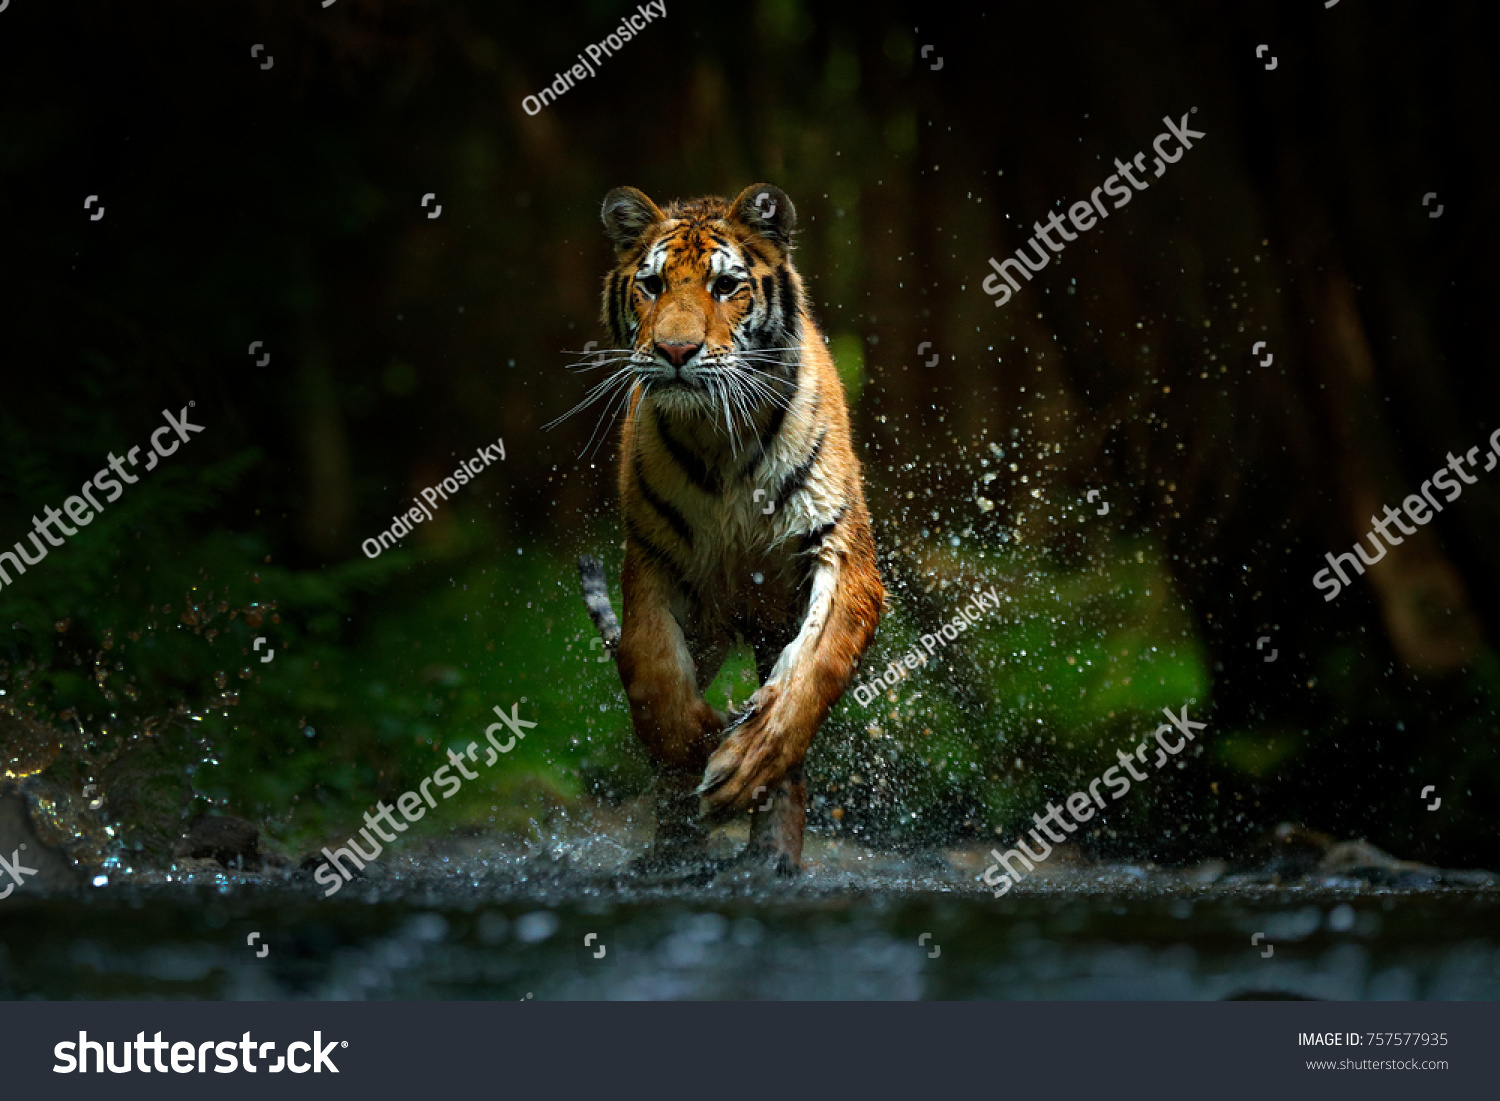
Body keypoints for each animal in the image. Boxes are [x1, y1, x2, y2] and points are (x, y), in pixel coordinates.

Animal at [575, 182, 884, 875]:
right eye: (653, 285)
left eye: (725, 287)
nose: (675, 352)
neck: (720, 439)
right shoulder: (652, 558)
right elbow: (651, 666)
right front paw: (693, 746)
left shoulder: (841, 550)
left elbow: (814, 669)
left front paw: (747, 760)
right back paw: (675, 854)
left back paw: (771, 858)